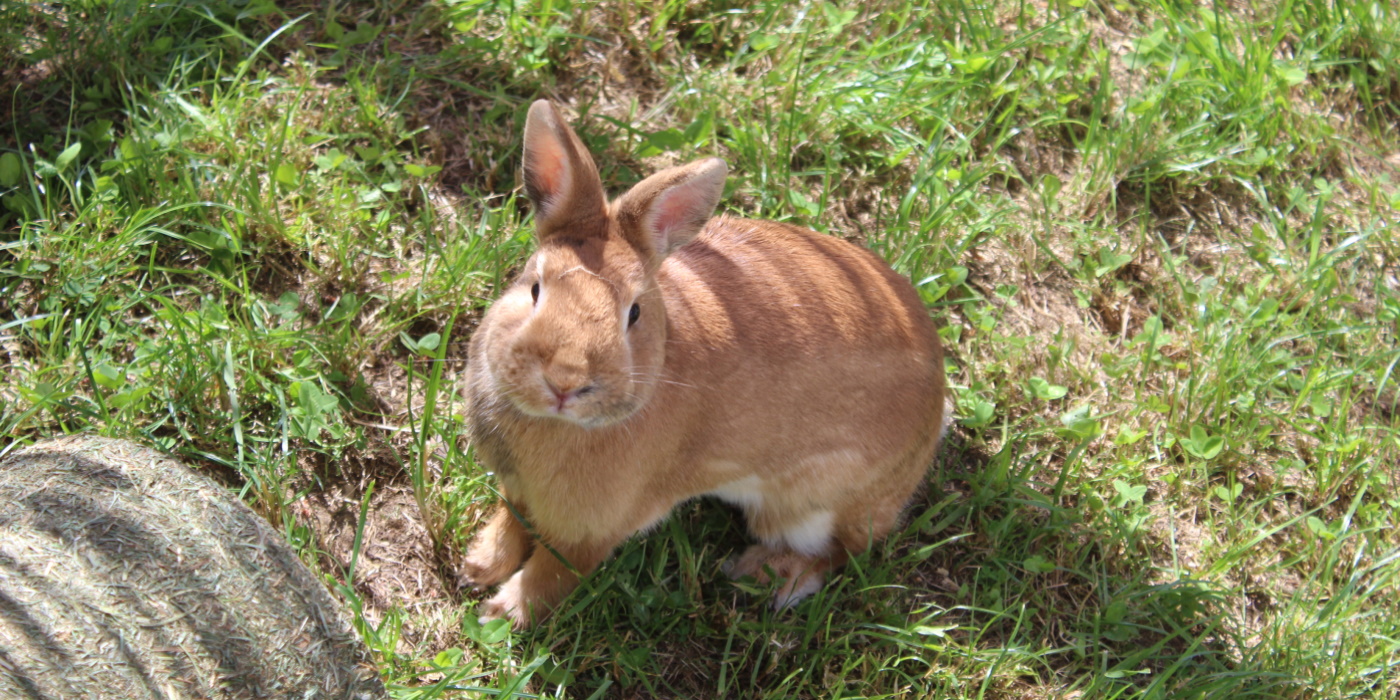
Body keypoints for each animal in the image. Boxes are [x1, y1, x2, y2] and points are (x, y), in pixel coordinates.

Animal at [460, 100, 947, 628]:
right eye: (534, 288)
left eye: (634, 313)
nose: (565, 382)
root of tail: (936, 404)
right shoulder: (518, 490)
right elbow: (512, 518)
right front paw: (480, 564)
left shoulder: (594, 527)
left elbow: (556, 572)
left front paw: (504, 612)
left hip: (813, 506)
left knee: (844, 551)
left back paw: (770, 574)